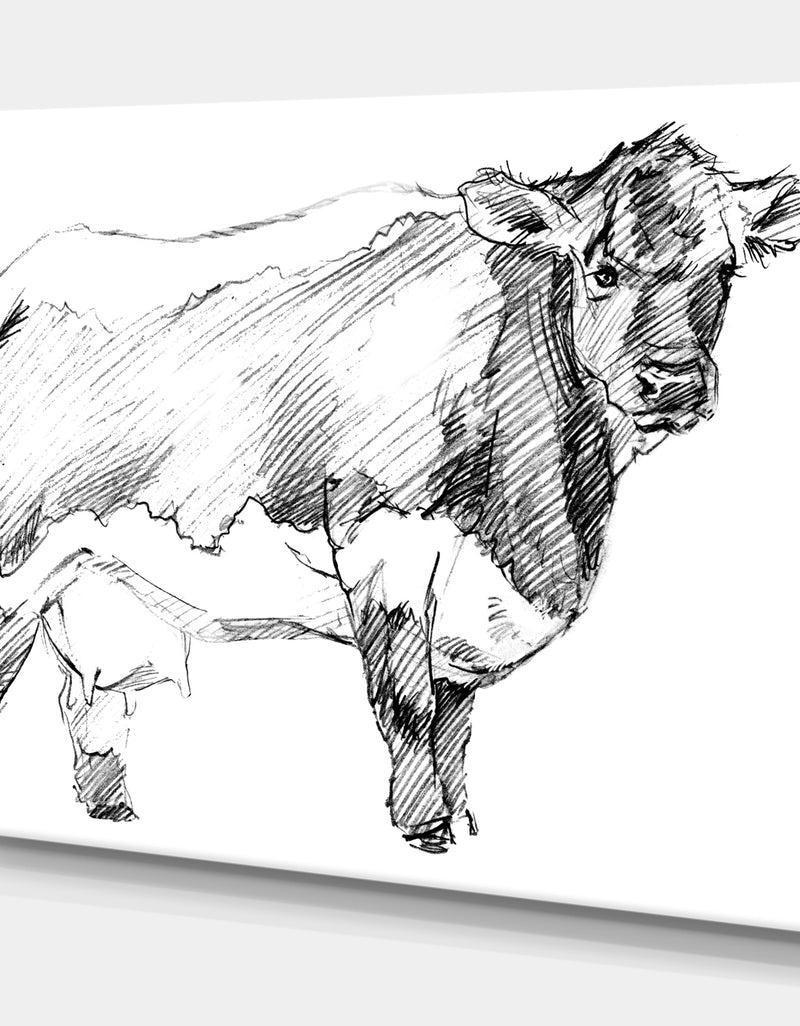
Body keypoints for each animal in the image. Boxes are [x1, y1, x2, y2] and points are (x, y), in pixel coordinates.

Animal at [0, 124, 796, 851]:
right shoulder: (382, 540)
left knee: (95, 712)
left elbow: (455, 718)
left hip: (94, 586)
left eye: (727, 271)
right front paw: (425, 829)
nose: (676, 383)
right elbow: (407, 703)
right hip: (19, 563)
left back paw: (116, 816)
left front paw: (465, 823)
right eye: (600, 271)